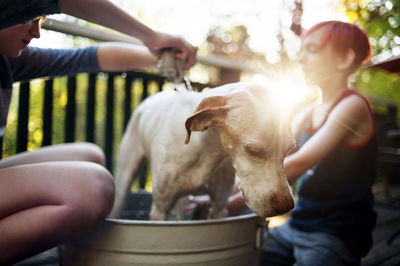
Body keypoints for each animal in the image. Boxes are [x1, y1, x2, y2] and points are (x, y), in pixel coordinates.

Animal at [109, 82, 296, 220]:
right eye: (253, 150)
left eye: (289, 149)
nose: (286, 206)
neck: (208, 151)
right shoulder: (160, 210)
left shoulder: (219, 207)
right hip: (123, 181)